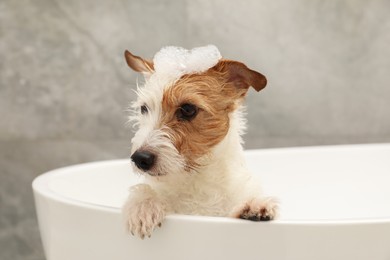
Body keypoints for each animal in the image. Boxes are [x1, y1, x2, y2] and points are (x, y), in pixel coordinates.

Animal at [122, 45, 278, 239]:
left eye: (188, 109)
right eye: (144, 108)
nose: (140, 158)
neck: (196, 180)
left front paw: (252, 206)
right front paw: (144, 205)